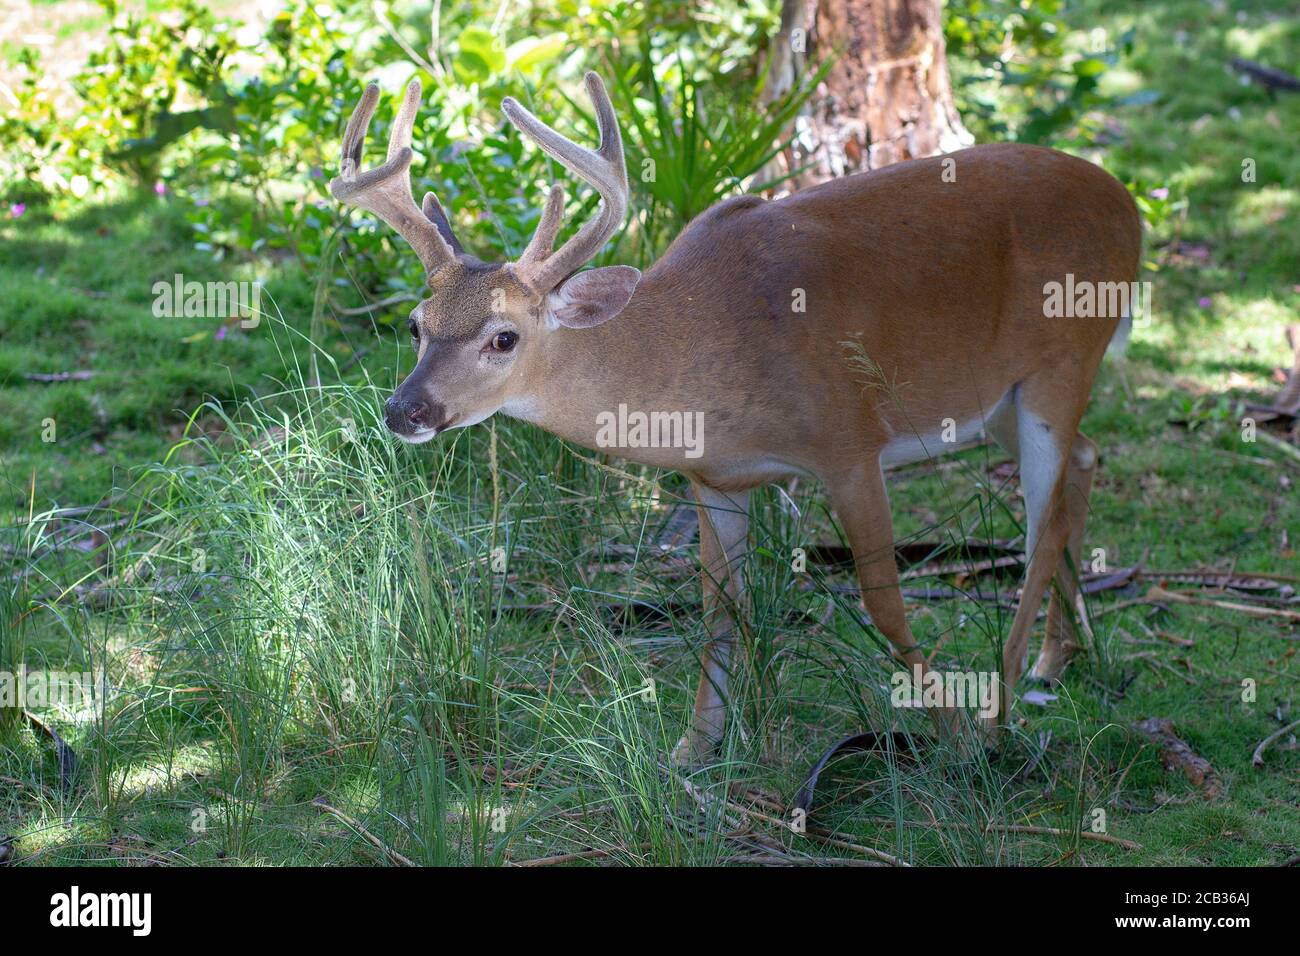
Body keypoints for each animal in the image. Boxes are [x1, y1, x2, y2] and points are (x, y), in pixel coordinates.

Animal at [332, 70, 1138, 764]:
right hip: (997, 399)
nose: (405, 409)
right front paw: (693, 750)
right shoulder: (715, 477)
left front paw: (953, 732)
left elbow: (883, 603)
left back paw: (1001, 709)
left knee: (1040, 529)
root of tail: (1128, 204)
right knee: (1087, 462)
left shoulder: (851, 440)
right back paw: (1056, 657)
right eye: (416, 324)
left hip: (1064, 358)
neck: (705, 351)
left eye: (504, 337)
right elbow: (721, 611)